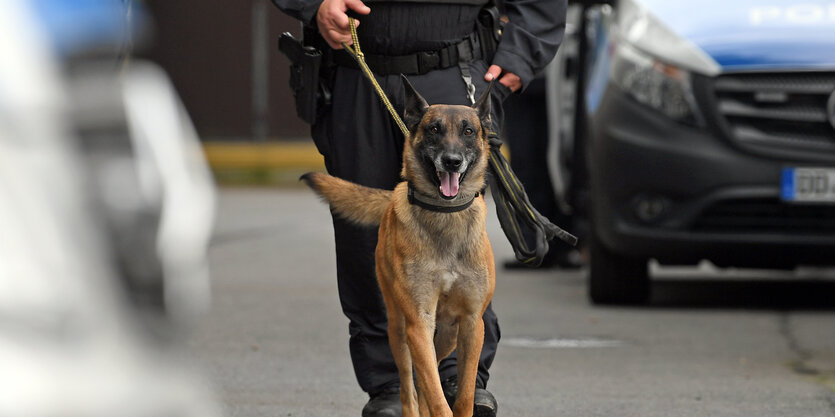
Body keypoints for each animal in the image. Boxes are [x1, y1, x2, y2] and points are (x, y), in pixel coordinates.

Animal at [302, 75, 494, 416]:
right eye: (434, 129)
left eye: (468, 132)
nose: (452, 161)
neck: (445, 215)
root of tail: (392, 197)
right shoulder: (418, 321)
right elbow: (434, 393)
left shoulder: (472, 324)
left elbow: (463, 394)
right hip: (399, 329)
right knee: (408, 384)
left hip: (447, 333)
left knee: (426, 375)